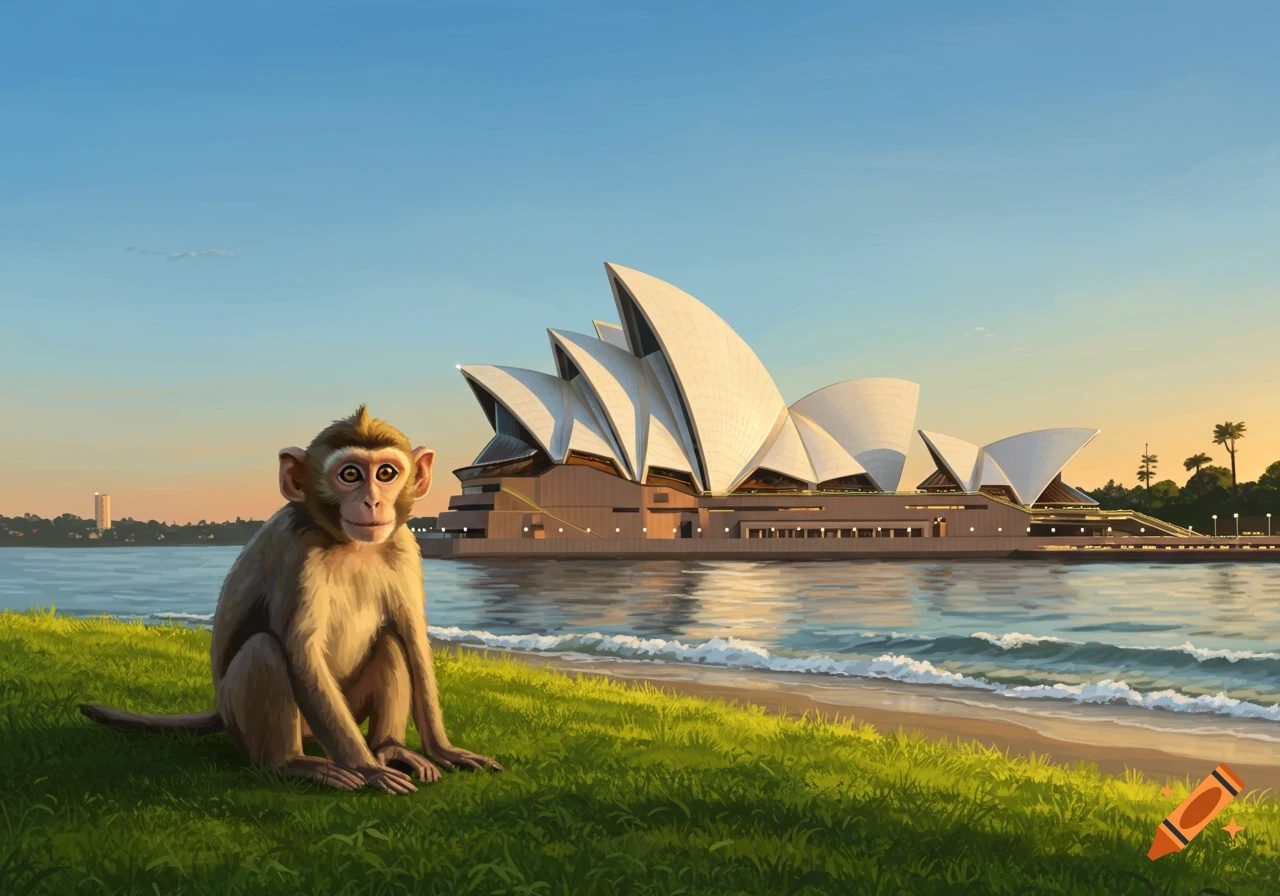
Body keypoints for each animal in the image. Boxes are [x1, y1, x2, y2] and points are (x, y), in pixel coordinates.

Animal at [80, 406, 501, 794]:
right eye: (351, 475)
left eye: (386, 473)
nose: (372, 502)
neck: (350, 545)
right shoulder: (298, 553)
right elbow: (301, 654)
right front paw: (368, 769)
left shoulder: (403, 547)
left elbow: (412, 641)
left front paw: (443, 750)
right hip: (259, 721)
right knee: (264, 650)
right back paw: (293, 762)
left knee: (389, 643)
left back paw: (389, 747)